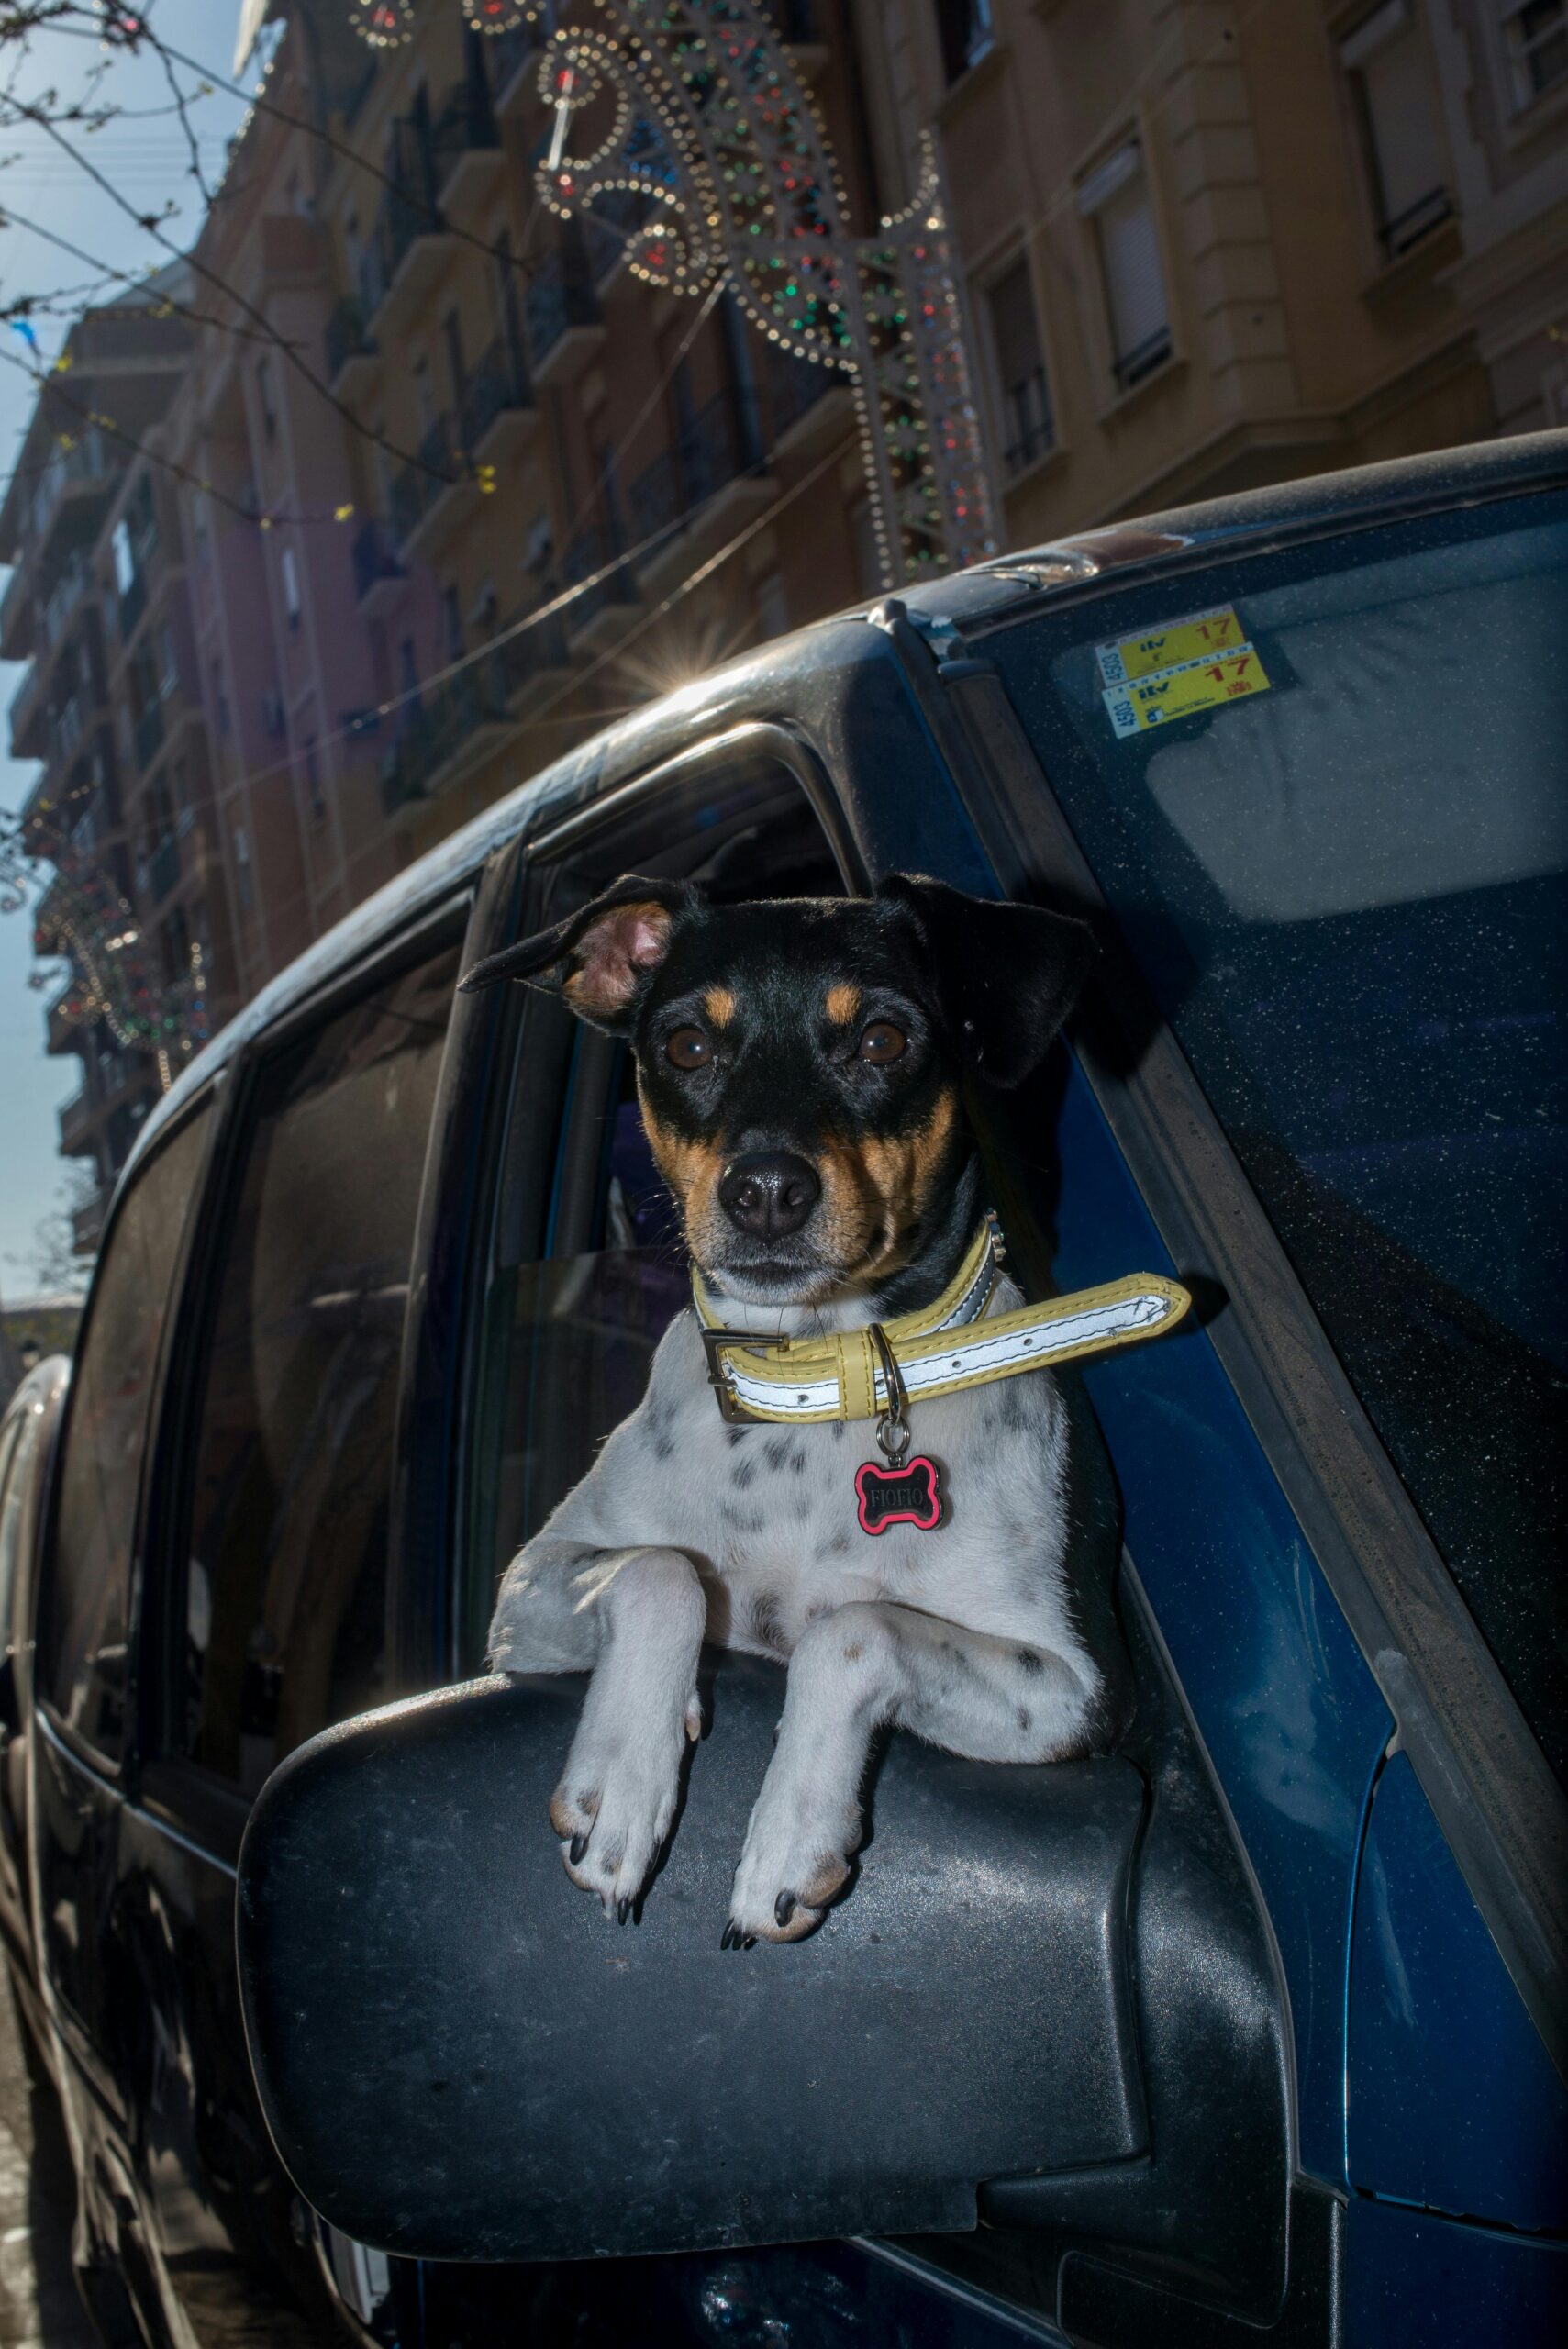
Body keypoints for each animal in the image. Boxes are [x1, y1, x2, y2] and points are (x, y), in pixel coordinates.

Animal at [460, 878, 1131, 1944]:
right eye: (688, 1045)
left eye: (882, 1042)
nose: (765, 1191)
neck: (820, 1378)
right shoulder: (529, 1585)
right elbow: (660, 1573)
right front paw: (620, 1786)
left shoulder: (1075, 1689)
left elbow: (853, 1628)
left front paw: (787, 1838)